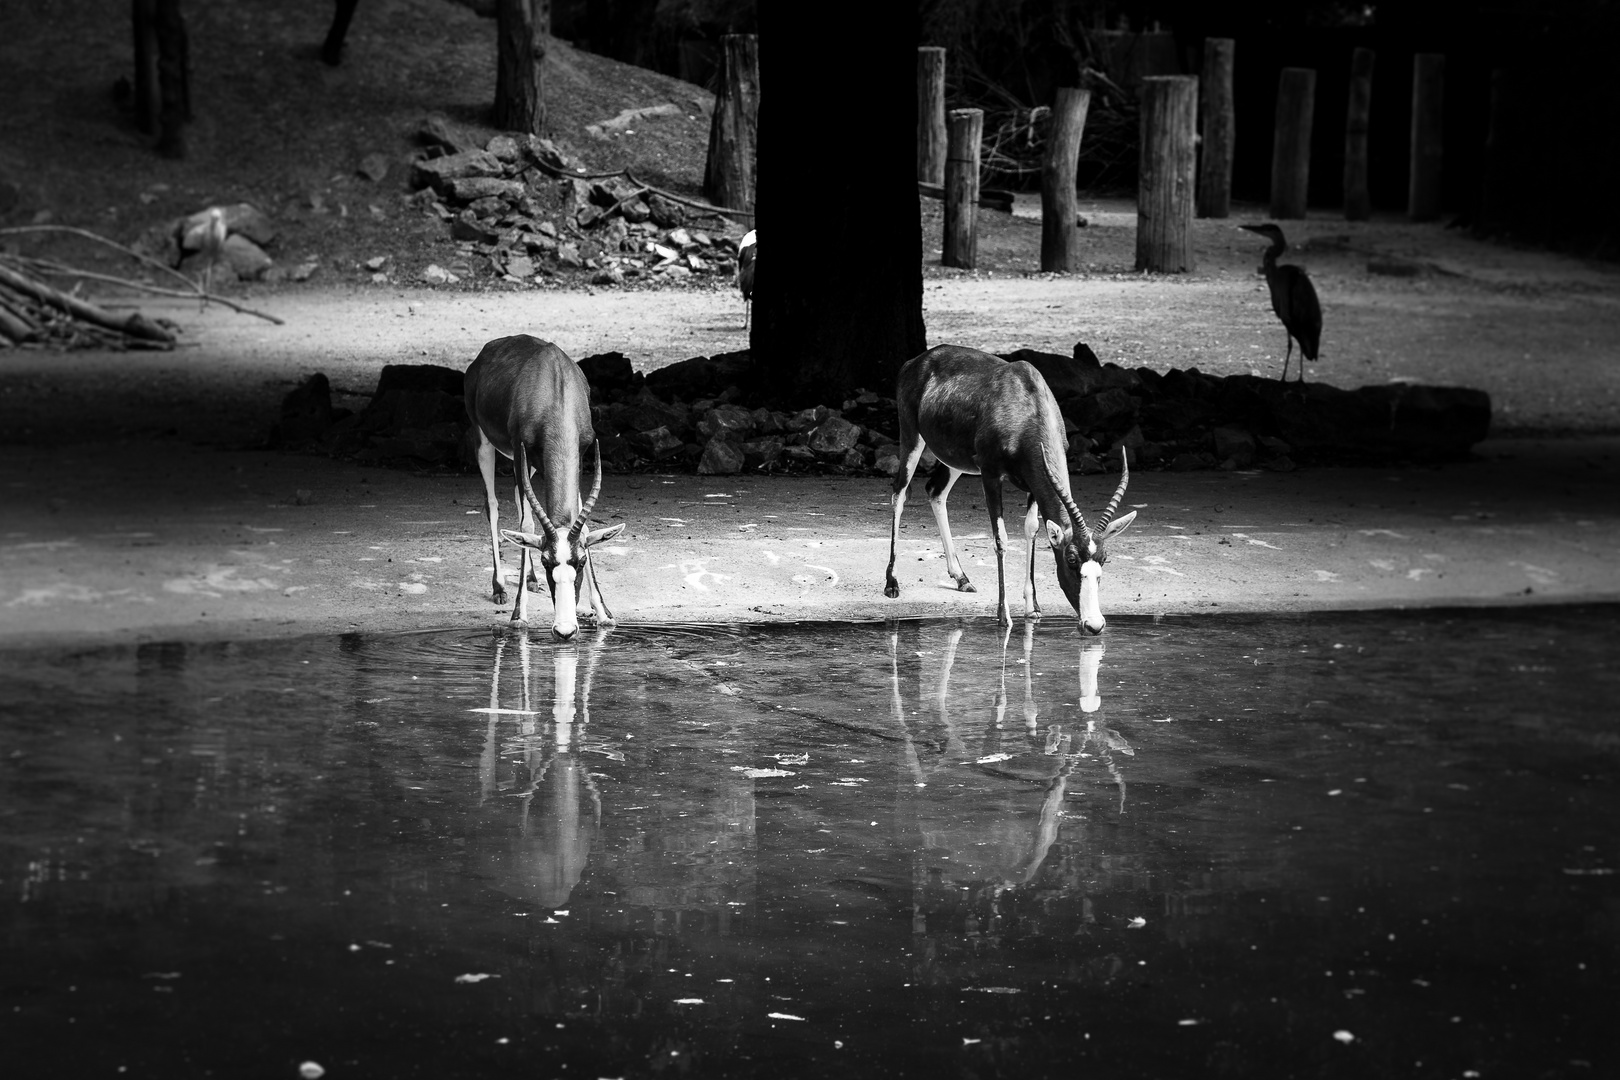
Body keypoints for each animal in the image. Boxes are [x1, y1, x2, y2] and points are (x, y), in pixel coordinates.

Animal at [466, 335, 628, 641]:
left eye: (581, 562)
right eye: (546, 562)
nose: (564, 630)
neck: (555, 387)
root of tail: (485, 352)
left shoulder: (580, 454)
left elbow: (582, 524)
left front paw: (604, 614)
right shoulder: (519, 452)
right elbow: (526, 524)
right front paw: (518, 617)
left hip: (527, 465)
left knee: (518, 501)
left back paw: (530, 580)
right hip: (484, 442)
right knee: (492, 505)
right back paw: (500, 588)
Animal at [887, 344, 1140, 634]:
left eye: (1104, 559)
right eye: (1071, 558)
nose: (1094, 625)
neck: (1026, 402)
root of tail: (915, 362)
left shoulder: (1034, 483)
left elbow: (1031, 529)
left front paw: (1033, 608)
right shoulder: (990, 474)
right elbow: (1001, 539)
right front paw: (1004, 616)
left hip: (955, 460)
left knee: (935, 491)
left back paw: (962, 579)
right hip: (912, 439)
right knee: (900, 493)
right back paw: (891, 583)